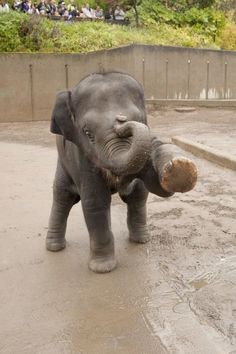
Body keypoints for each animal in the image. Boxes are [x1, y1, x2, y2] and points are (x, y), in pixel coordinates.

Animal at [46, 70, 197, 272]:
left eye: (141, 120)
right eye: (87, 133)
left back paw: (141, 240)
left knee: (138, 196)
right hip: (63, 164)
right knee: (63, 197)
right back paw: (54, 248)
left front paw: (179, 167)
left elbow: (149, 185)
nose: (121, 120)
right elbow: (95, 201)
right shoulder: (81, 157)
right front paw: (102, 268)